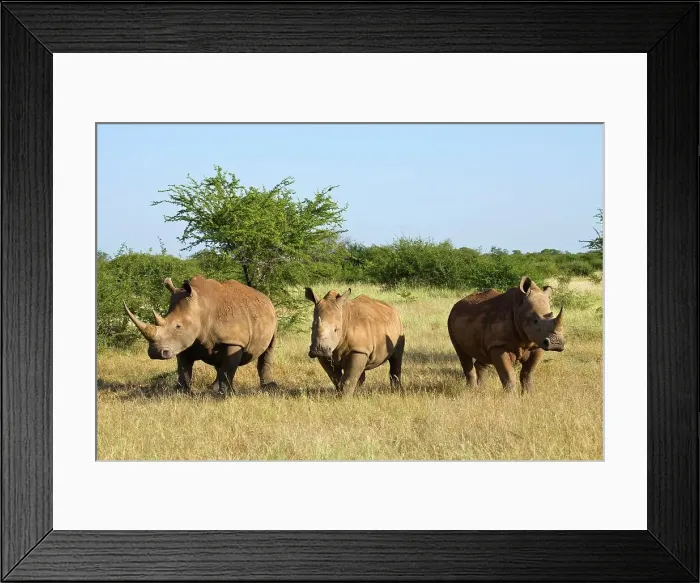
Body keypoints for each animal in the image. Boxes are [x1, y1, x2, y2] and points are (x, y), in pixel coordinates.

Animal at [123, 274, 278, 396]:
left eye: (178, 326)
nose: (155, 352)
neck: (201, 307)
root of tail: (265, 297)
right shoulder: (184, 341)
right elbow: (183, 368)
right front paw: (182, 392)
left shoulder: (234, 340)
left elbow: (229, 367)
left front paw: (226, 394)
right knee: (218, 362)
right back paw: (212, 388)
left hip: (273, 316)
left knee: (268, 349)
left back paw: (269, 387)